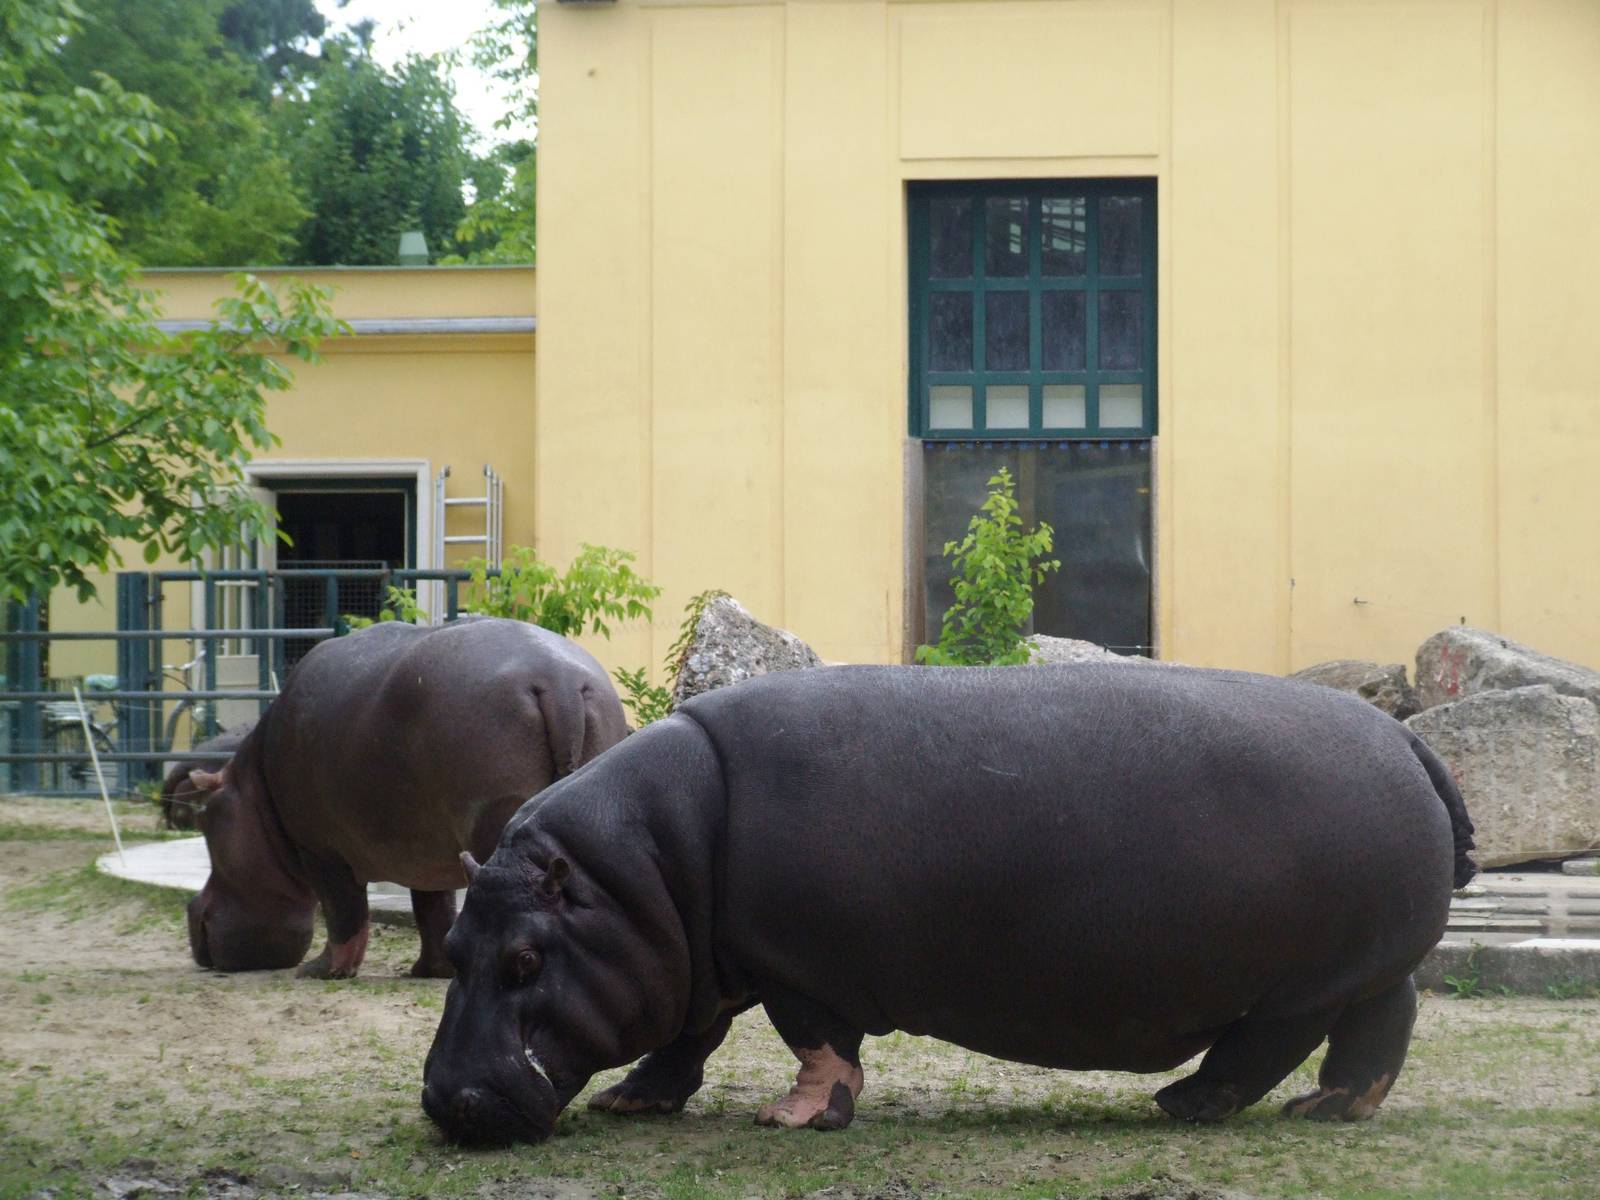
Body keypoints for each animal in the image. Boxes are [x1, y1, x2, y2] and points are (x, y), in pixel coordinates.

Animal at [187, 618, 628, 978]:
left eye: (205, 822)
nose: (194, 912)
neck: (256, 787)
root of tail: (560, 684)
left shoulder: (320, 850)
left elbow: (344, 911)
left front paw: (319, 971)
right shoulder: (428, 850)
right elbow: (434, 909)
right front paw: (433, 971)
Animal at [421, 664, 1474, 1144]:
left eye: (525, 958)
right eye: (458, 949)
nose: (442, 1099)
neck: (641, 872)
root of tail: (1407, 740)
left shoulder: (798, 968)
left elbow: (817, 1044)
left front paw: (792, 1120)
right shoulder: (702, 962)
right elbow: (688, 1034)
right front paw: (635, 1099)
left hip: (1299, 981)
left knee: (1264, 1046)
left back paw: (1184, 1102)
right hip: (1366, 962)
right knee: (1383, 1023)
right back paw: (1330, 1108)